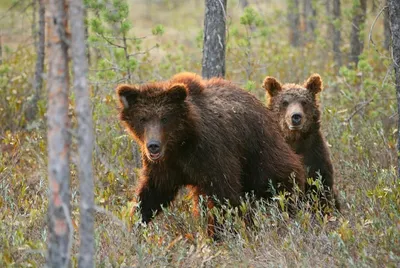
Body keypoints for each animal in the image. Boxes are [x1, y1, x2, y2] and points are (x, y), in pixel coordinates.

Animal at [117, 72, 304, 231]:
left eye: (165, 118)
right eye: (143, 118)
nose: (153, 145)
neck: (181, 143)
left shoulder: (211, 153)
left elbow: (224, 196)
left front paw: (220, 233)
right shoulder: (165, 165)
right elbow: (153, 193)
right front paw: (135, 223)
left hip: (260, 149)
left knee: (280, 178)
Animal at [264, 74, 340, 211]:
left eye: (304, 102)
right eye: (285, 102)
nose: (296, 116)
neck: (295, 140)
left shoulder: (315, 157)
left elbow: (321, 192)